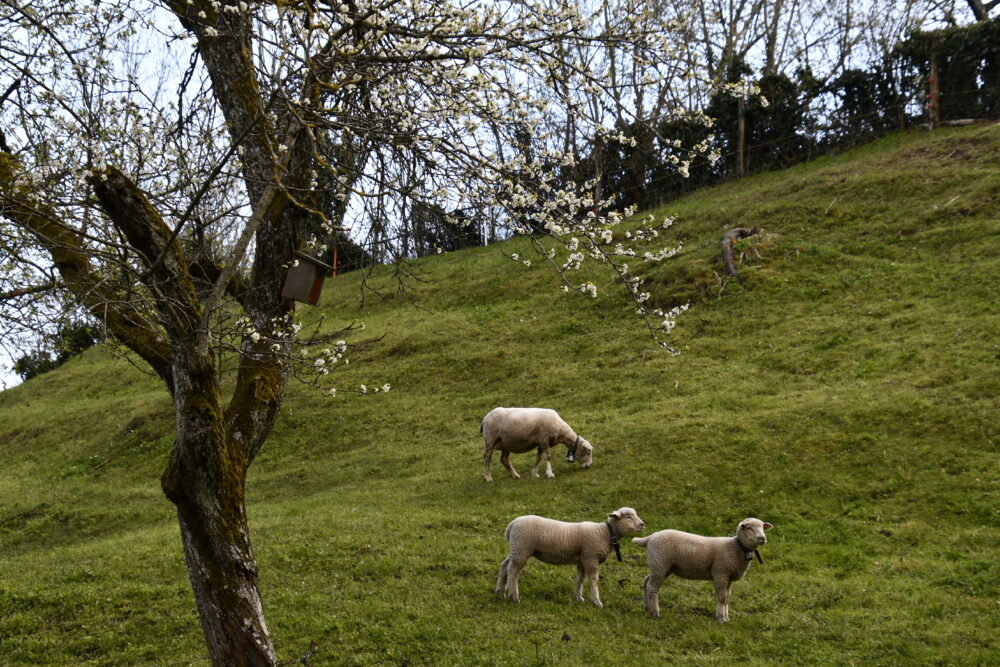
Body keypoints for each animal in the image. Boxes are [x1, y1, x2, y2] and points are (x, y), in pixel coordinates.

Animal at [496, 508, 644, 608]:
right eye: (628, 516)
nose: (642, 524)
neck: (605, 533)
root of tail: (511, 524)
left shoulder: (583, 559)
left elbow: (580, 578)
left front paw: (578, 597)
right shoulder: (591, 557)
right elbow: (593, 580)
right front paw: (597, 602)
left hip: (516, 549)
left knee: (504, 566)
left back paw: (500, 592)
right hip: (522, 548)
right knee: (513, 570)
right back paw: (514, 597)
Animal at [632, 520, 772, 624]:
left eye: (762, 527)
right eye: (749, 528)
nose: (762, 538)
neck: (736, 547)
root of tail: (651, 536)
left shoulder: (729, 577)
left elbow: (727, 597)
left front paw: (726, 617)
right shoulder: (721, 573)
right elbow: (722, 597)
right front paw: (721, 619)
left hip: (660, 566)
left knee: (646, 582)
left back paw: (647, 607)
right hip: (660, 564)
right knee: (652, 587)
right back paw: (654, 613)